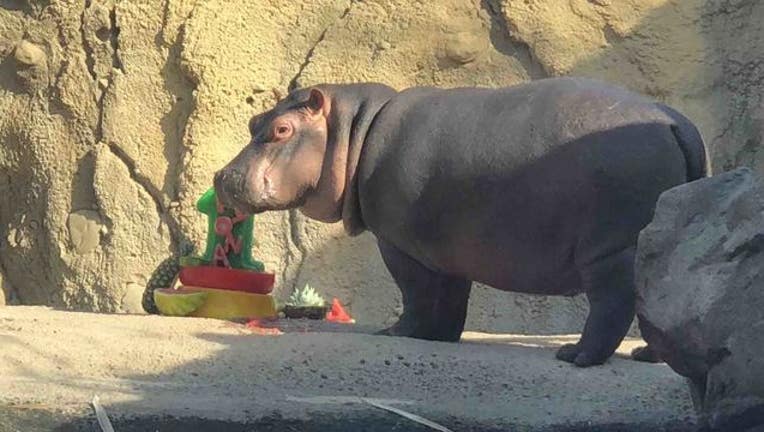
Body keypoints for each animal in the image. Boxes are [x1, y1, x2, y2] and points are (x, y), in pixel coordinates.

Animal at [215, 78, 712, 368]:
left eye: (280, 130)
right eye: (254, 120)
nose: (221, 176)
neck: (353, 131)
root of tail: (676, 122)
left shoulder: (399, 245)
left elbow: (415, 293)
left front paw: (395, 332)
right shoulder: (446, 245)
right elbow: (452, 297)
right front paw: (442, 339)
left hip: (609, 250)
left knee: (612, 304)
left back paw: (575, 355)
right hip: (654, 245)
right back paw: (647, 356)